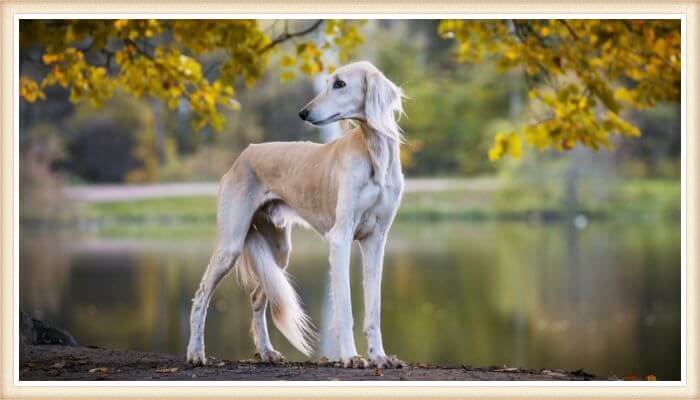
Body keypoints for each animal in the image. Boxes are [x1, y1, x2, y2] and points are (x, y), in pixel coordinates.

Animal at [187, 61, 404, 370]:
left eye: (339, 84)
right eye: (327, 83)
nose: (304, 113)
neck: (375, 153)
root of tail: (243, 155)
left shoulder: (376, 240)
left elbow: (373, 310)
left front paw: (380, 356)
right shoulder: (340, 238)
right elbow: (345, 309)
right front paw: (351, 356)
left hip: (279, 250)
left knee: (257, 297)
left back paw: (266, 351)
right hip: (231, 243)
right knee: (202, 295)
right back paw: (195, 352)